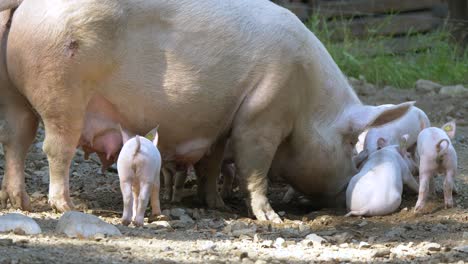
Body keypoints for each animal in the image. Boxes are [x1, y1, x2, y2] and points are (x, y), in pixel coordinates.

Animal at [0, 0, 412, 222]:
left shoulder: (218, 125)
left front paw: (218, 206)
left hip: (16, 97)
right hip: (62, 91)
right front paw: (270, 218)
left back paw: (19, 202)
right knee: (54, 149)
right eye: (351, 150)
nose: (345, 193)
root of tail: (27, 7)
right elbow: (254, 167)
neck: (308, 102)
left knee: (16, 141)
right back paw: (66, 205)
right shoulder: (262, 113)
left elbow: (211, 166)